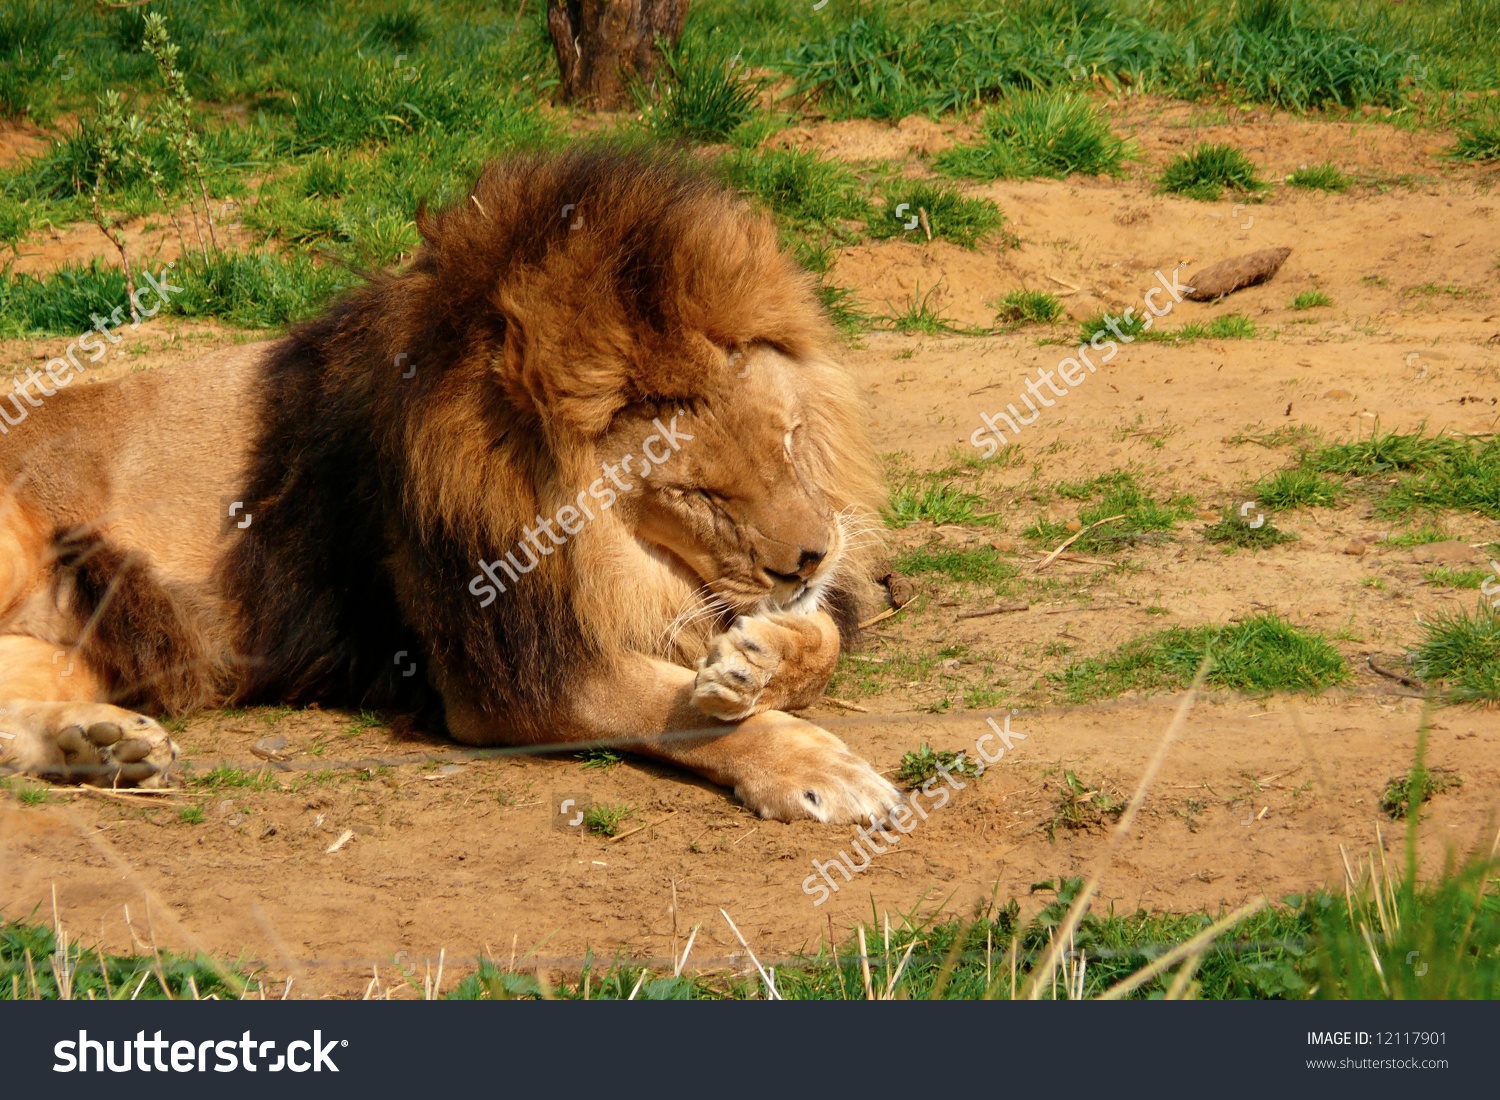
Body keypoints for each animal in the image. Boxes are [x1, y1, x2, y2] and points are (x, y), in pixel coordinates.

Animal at [0, 150, 900, 828]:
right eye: (698, 494)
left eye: (789, 441)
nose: (814, 556)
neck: (603, 549)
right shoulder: (503, 674)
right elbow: (669, 709)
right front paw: (814, 767)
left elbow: (813, 640)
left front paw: (759, 660)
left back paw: (97, 744)